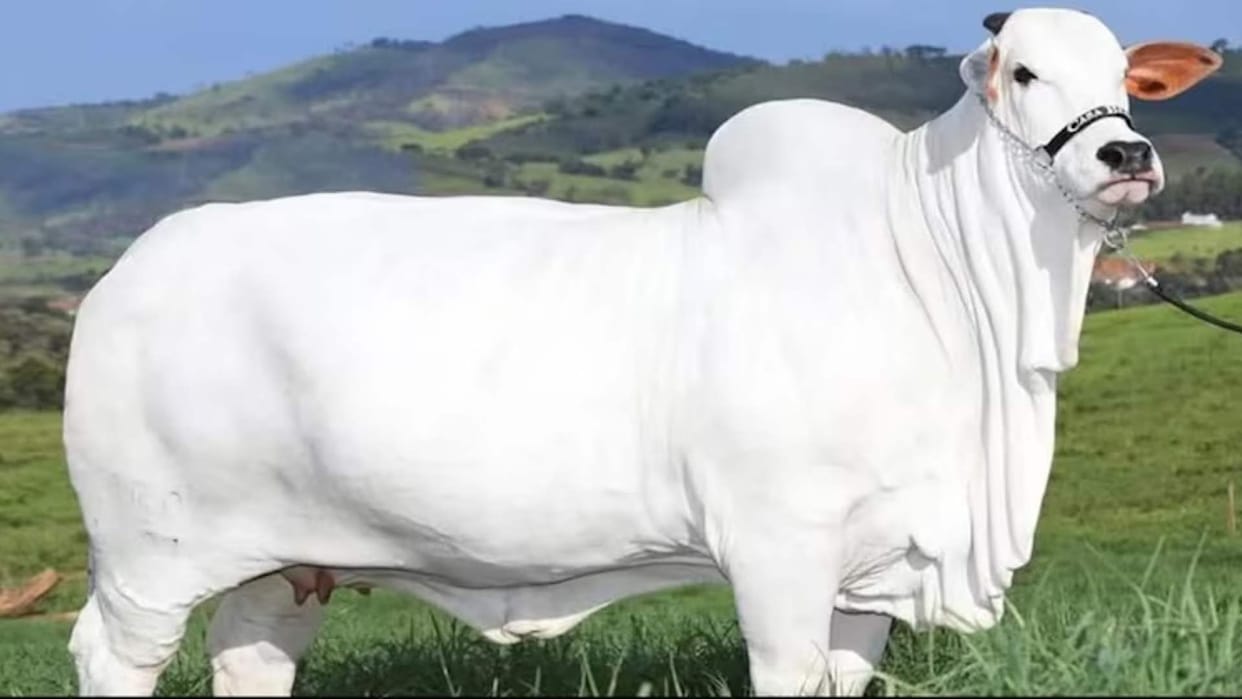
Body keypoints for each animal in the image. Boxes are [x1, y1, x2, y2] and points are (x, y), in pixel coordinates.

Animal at [62, 7, 1221, 697]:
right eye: (1022, 71)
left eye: (1125, 74)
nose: (1127, 154)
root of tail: (127, 274)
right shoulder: (779, 549)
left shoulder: (874, 569)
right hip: (148, 555)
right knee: (111, 657)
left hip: (286, 560)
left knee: (251, 656)